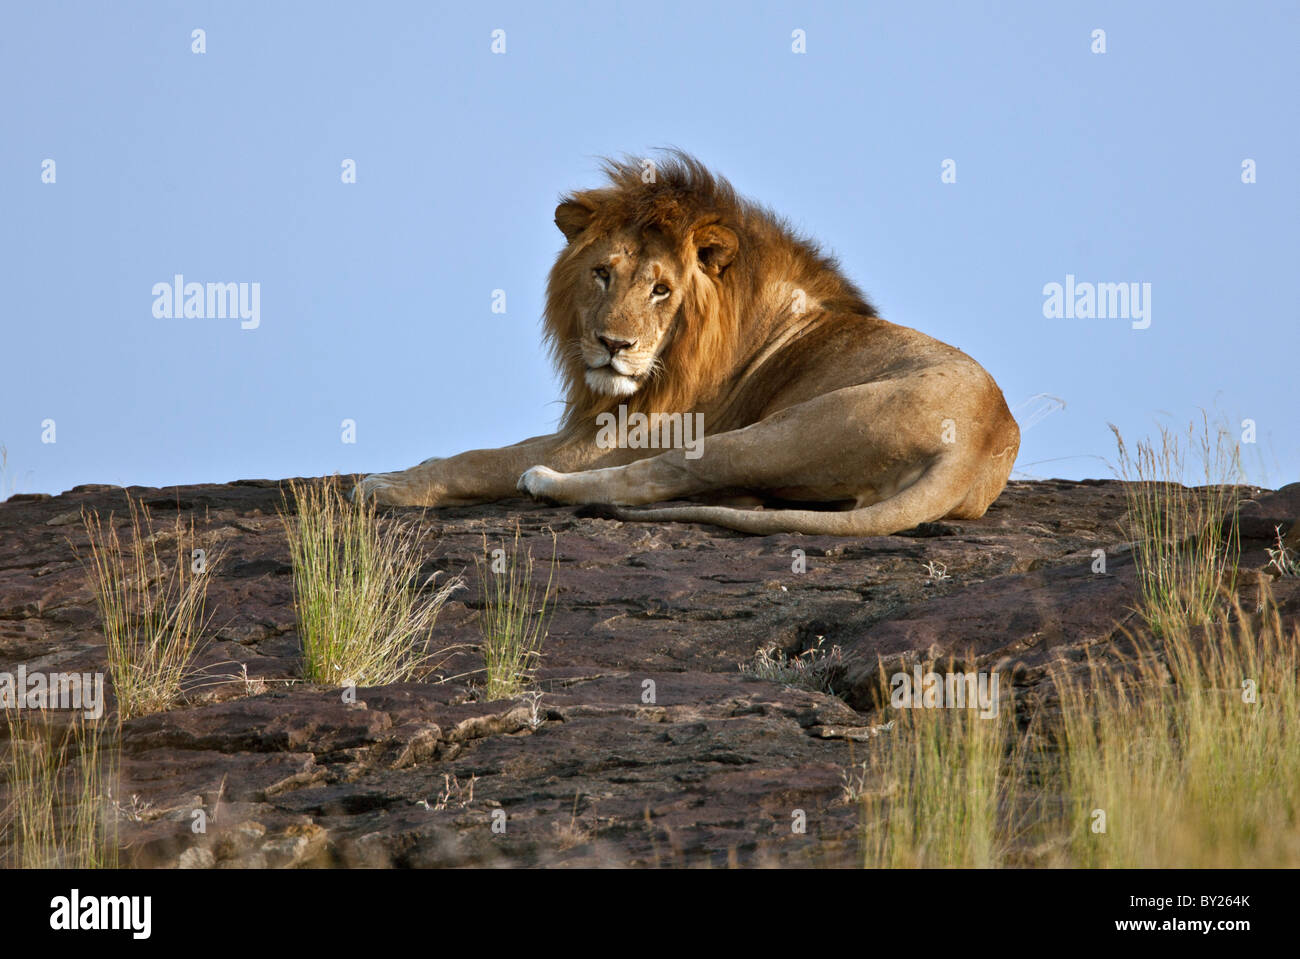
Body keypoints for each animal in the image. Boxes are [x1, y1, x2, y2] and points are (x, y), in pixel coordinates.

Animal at [356, 152, 1020, 536]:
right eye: (602, 274)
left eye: (661, 289)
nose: (613, 344)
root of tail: (976, 444)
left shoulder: (636, 429)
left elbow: (487, 458)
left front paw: (388, 484)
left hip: (778, 430)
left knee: (654, 478)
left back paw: (543, 482)